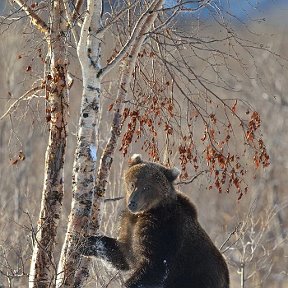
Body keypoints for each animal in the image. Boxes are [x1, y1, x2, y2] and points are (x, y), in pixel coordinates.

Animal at [80, 154, 230, 288]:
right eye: (133, 183)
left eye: (147, 187)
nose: (132, 203)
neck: (146, 213)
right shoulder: (129, 227)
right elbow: (120, 254)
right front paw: (85, 243)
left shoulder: (164, 231)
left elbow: (155, 267)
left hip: (197, 277)